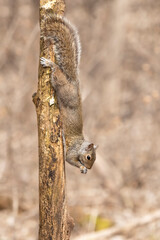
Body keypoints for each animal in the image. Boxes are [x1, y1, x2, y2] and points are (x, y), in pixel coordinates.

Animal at [40, 14, 97, 173]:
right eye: (89, 157)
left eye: (94, 159)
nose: (89, 168)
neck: (80, 145)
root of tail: (74, 82)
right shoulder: (72, 151)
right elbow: (69, 159)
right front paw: (82, 167)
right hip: (63, 88)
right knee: (57, 73)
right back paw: (50, 64)